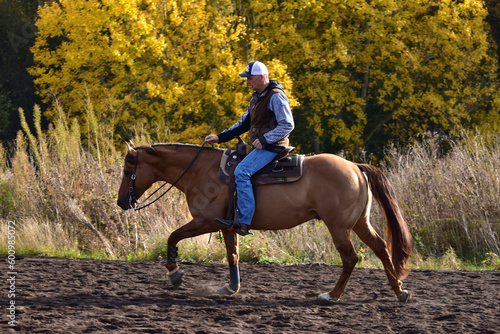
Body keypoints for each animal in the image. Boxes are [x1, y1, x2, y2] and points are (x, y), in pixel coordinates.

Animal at [118, 142, 414, 302]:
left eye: (128, 170)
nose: (122, 202)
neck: (202, 171)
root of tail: (354, 166)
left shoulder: (206, 221)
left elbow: (172, 236)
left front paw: (175, 274)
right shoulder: (228, 225)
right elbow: (233, 255)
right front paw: (232, 287)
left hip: (339, 227)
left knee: (351, 258)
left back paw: (332, 295)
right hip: (360, 223)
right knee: (381, 248)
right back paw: (399, 291)